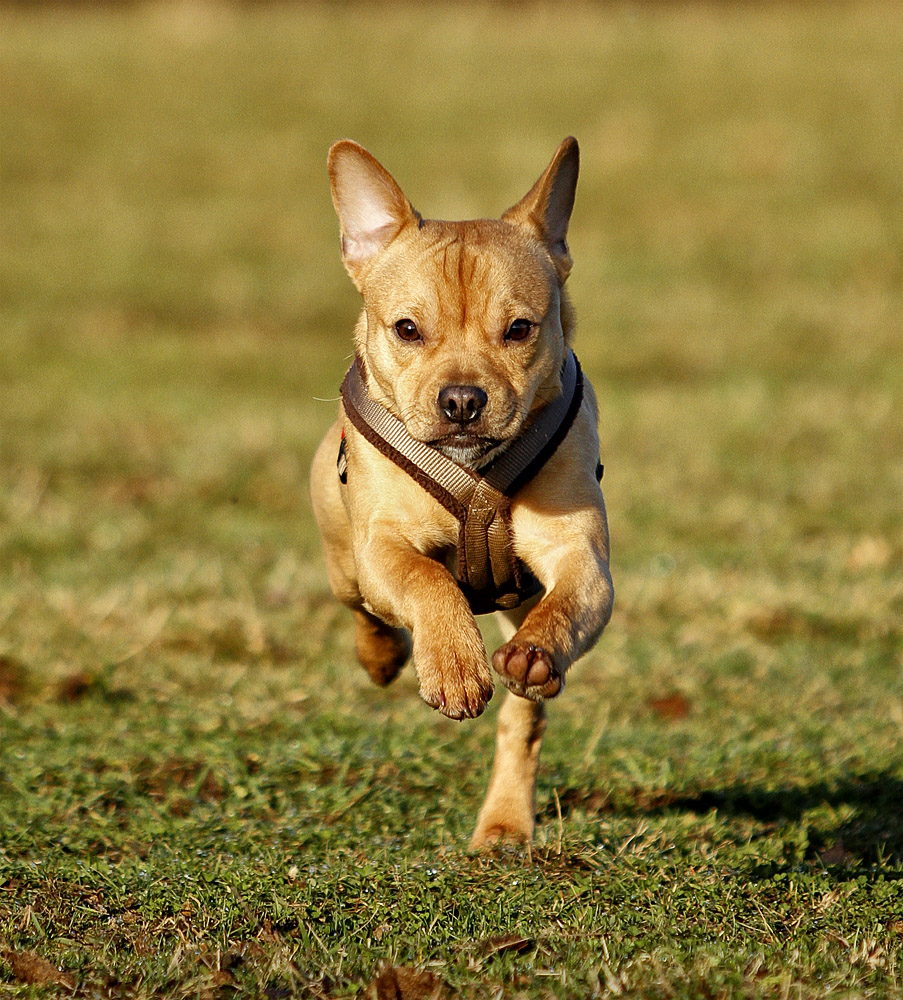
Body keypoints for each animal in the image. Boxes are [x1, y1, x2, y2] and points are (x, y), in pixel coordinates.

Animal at [310, 137, 616, 848]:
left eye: (520, 330)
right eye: (406, 330)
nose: (461, 400)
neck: (473, 473)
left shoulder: (580, 556)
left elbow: (567, 602)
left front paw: (534, 650)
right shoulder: (381, 546)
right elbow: (425, 580)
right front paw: (451, 665)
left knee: (521, 723)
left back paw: (504, 824)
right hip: (343, 558)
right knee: (364, 609)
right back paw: (384, 657)